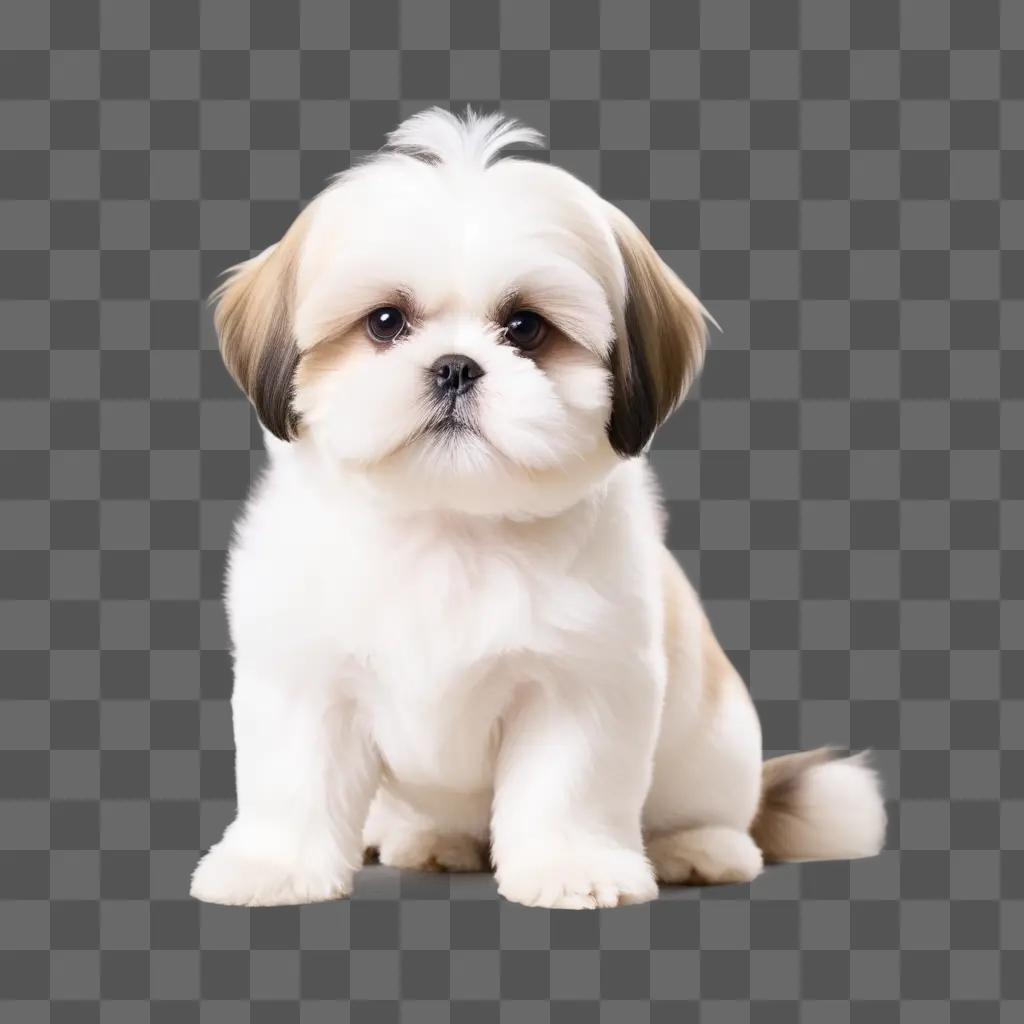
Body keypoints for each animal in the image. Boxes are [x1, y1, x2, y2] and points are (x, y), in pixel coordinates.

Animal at [192, 110, 888, 913]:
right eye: (386, 322)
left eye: (525, 328)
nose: (456, 366)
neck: (449, 530)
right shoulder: (306, 675)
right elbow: (295, 780)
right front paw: (273, 866)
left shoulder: (579, 684)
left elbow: (567, 787)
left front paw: (571, 867)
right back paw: (431, 842)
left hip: (714, 745)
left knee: (709, 809)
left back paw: (698, 849)